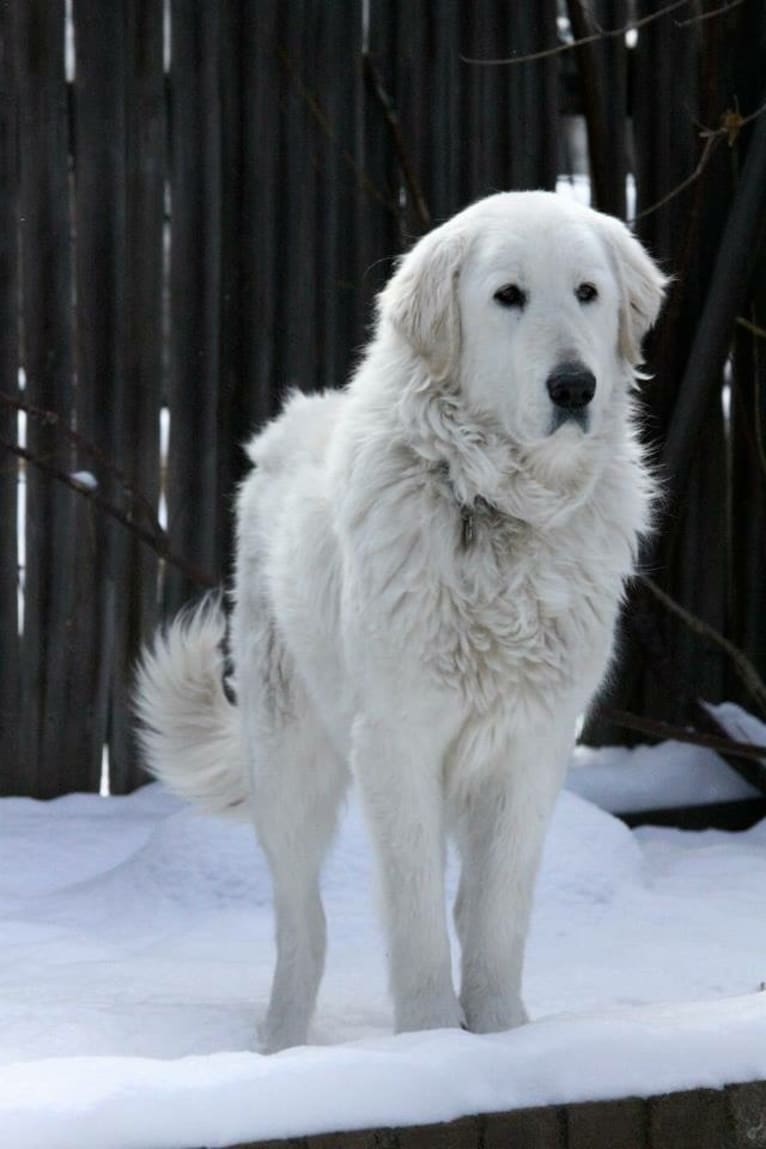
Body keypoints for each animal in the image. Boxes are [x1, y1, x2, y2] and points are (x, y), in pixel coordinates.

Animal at [134, 188, 666, 1052]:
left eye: (588, 292)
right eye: (508, 295)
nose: (574, 387)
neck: (494, 506)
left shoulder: (532, 744)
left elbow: (495, 915)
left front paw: (502, 1034)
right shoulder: (398, 741)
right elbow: (415, 921)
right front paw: (430, 1043)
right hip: (290, 762)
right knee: (302, 926)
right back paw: (280, 1046)